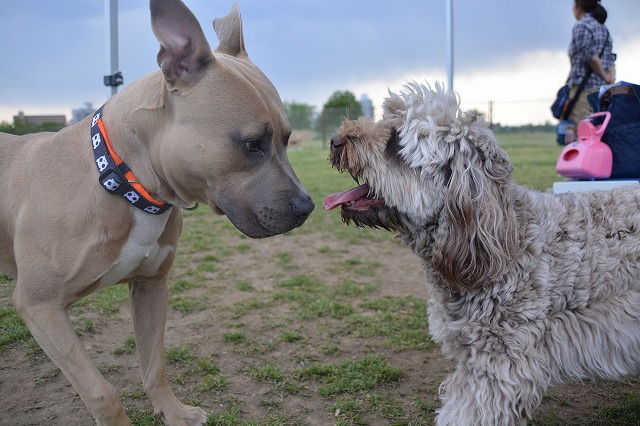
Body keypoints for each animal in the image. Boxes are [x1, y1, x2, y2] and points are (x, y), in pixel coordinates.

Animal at [0, 1, 312, 424]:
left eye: (287, 138)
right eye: (252, 144)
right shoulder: (40, 306)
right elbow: (102, 393)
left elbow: (154, 365)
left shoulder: (151, 286)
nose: (307, 207)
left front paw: (174, 412)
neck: (124, 183)